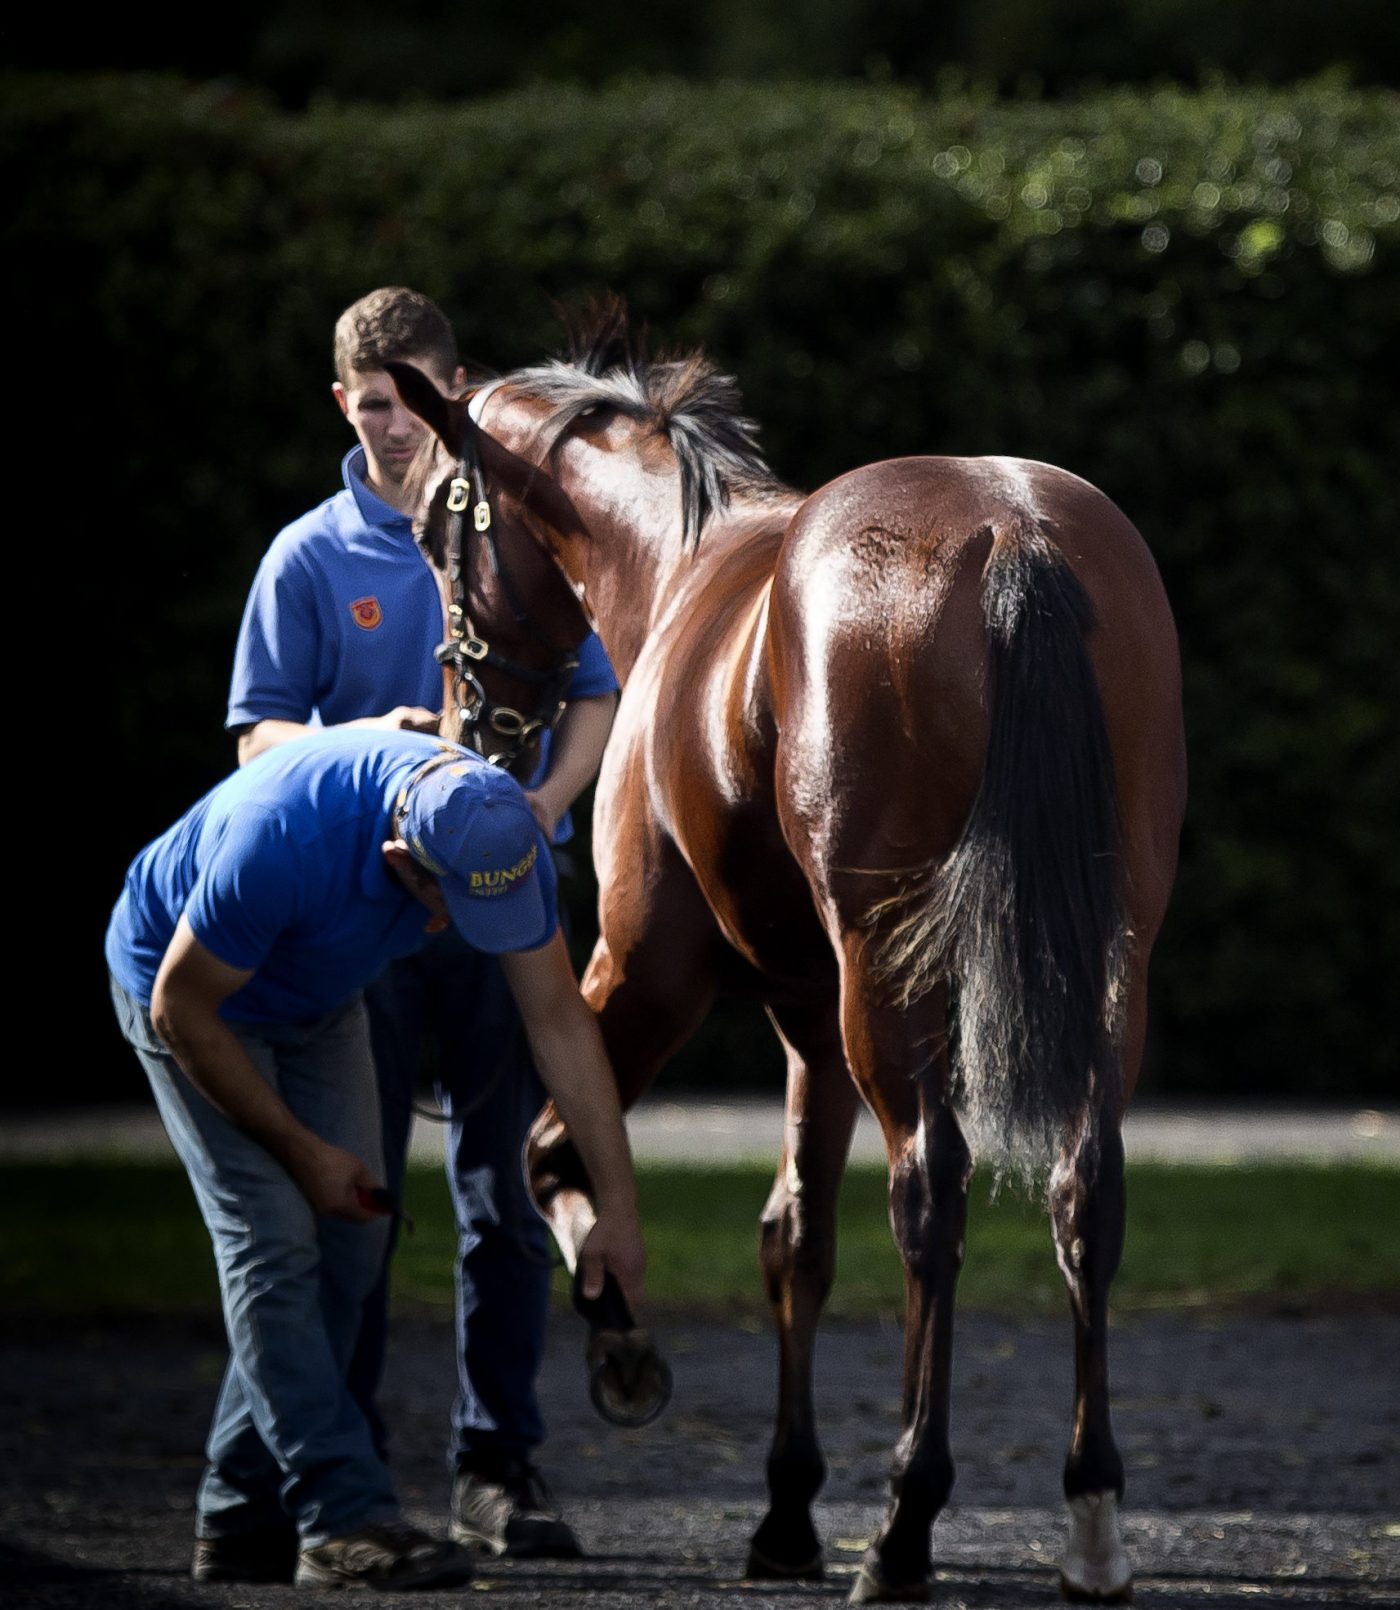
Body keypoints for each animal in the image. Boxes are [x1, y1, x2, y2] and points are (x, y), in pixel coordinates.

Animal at [388, 303, 1187, 1605]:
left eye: (429, 526)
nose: (468, 725)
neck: (684, 565)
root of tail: (1010, 530)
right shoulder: (807, 1012)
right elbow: (794, 1235)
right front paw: (783, 1503)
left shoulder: (651, 967)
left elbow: (557, 1147)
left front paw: (622, 1334)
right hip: (1103, 970)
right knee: (1085, 1189)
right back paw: (1090, 1517)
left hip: (875, 979)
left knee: (929, 1191)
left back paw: (905, 1520)